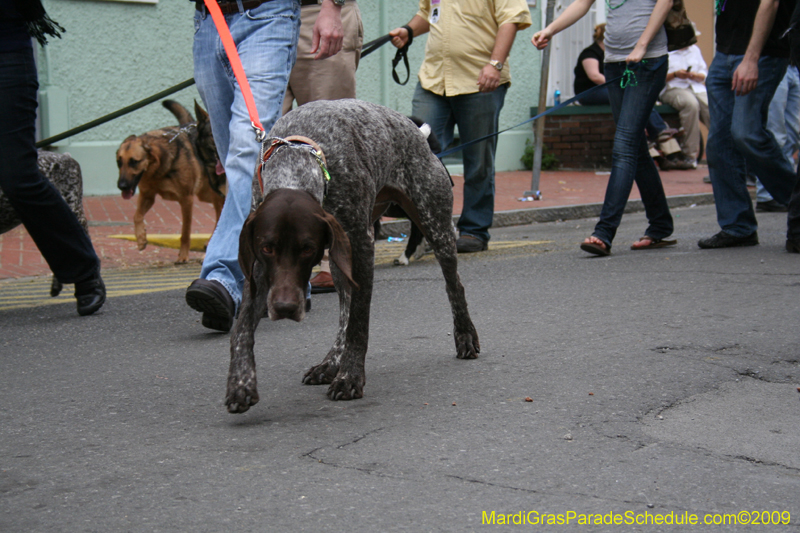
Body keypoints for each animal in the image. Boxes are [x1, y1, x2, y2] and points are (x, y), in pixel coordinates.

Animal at [114, 99, 225, 262]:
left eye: (134, 162)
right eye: (119, 162)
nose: (121, 186)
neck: (158, 169)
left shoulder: (186, 199)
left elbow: (185, 232)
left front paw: (183, 256)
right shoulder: (148, 196)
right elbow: (137, 216)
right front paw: (141, 238)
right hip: (208, 194)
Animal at [225, 101, 478, 416]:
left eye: (307, 248)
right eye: (267, 248)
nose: (284, 308)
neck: (299, 161)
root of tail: (418, 134)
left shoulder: (361, 246)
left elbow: (358, 323)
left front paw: (350, 378)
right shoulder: (260, 268)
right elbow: (241, 330)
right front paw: (240, 382)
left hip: (434, 223)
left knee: (454, 285)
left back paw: (465, 335)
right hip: (339, 261)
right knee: (344, 312)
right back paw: (330, 363)